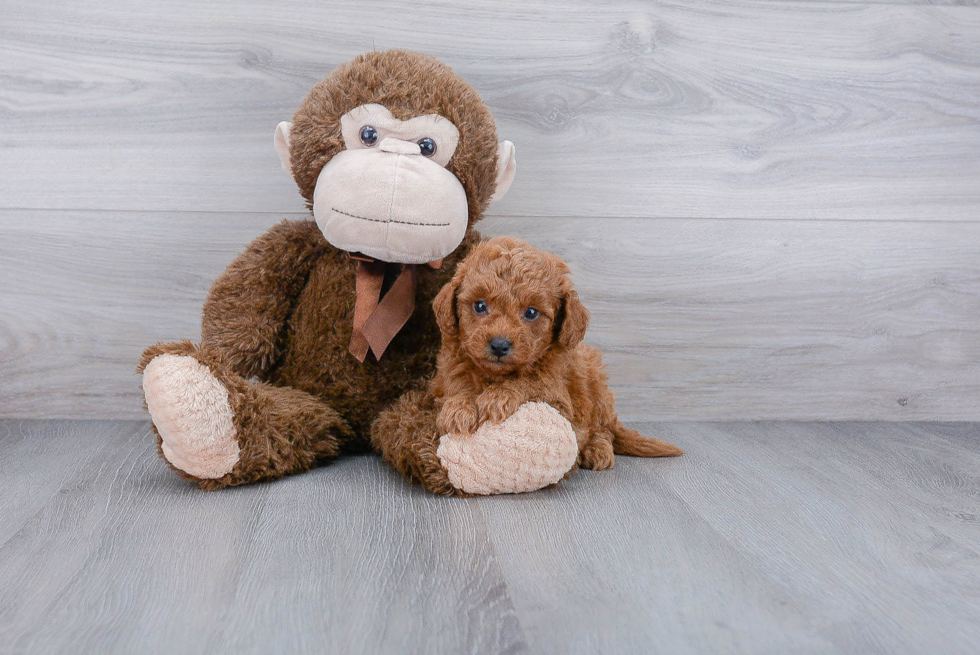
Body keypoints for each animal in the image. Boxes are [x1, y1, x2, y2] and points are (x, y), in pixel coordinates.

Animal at [428, 236, 680, 472]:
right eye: (479, 306)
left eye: (531, 312)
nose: (499, 345)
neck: (496, 375)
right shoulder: (446, 378)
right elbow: (458, 387)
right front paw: (459, 408)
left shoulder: (559, 399)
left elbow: (531, 382)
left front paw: (499, 396)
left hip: (596, 381)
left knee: (603, 429)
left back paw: (597, 449)